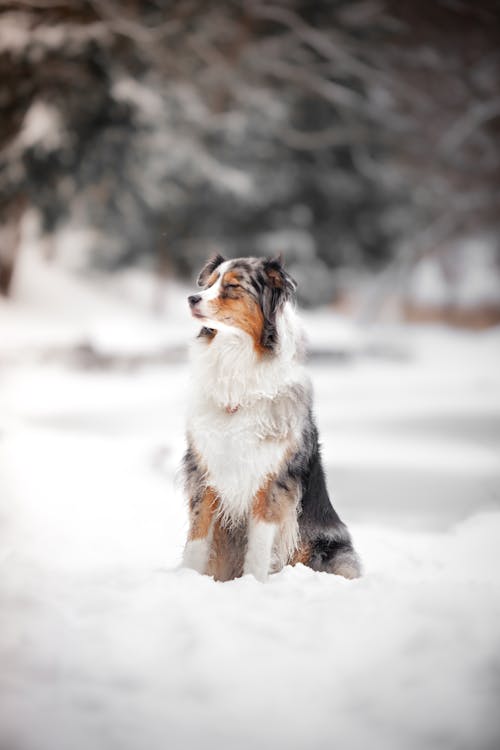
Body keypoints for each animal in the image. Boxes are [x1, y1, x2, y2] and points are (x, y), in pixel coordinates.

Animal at [182, 256, 362, 584]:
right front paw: (185, 577)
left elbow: (258, 547)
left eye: (232, 286)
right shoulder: (205, 470)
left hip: (328, 546)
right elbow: (197, 539)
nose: (191, 298)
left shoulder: (272, 481)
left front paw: (253, 583)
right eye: (209, 282)